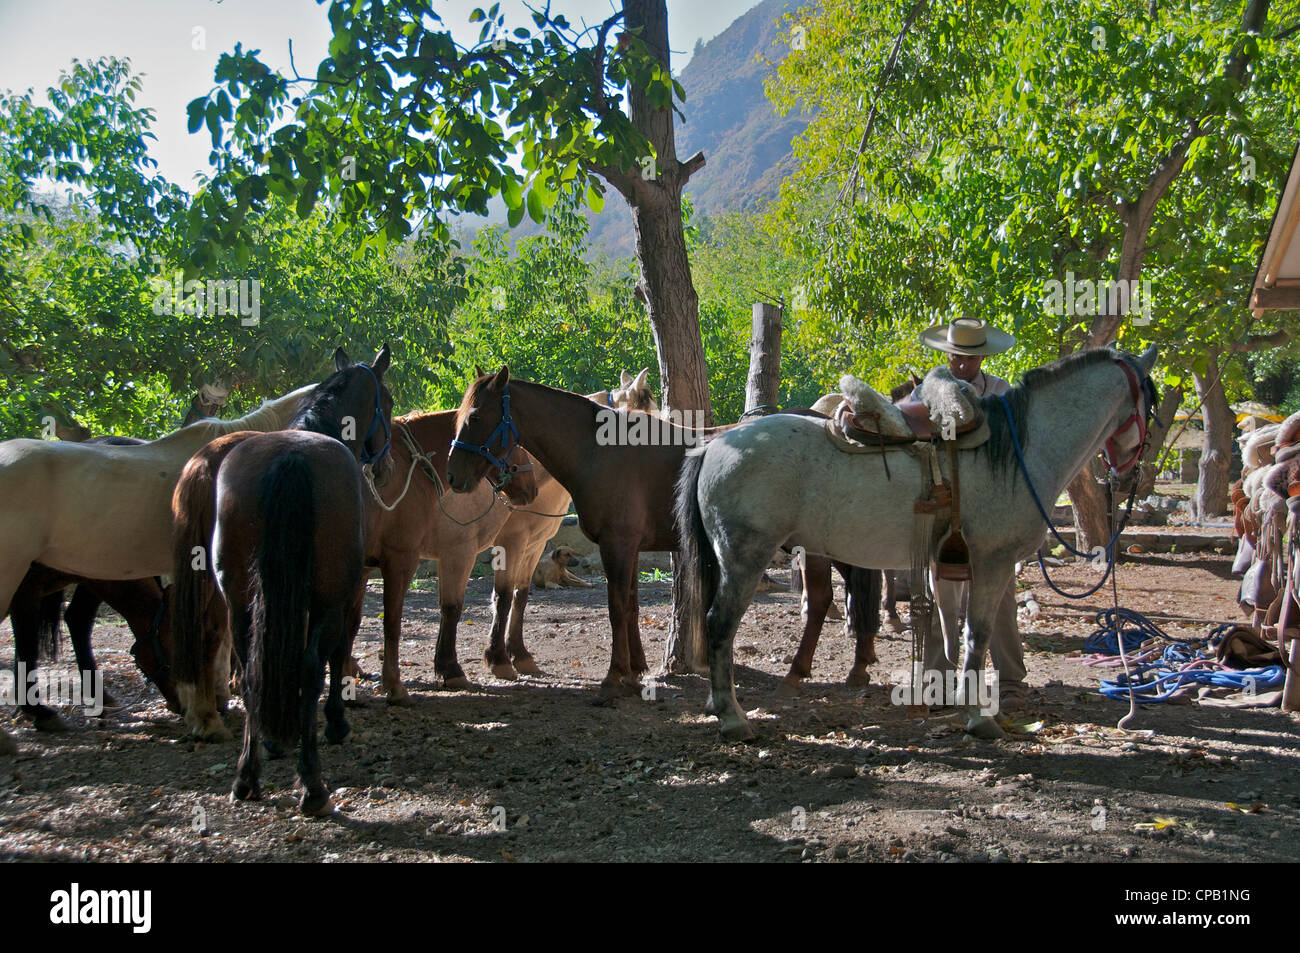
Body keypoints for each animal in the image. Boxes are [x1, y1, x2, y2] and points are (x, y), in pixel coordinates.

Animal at [174, 346, 394, 815]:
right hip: (325, 596)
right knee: (310, 667)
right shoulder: (348, 595)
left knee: (250, 670)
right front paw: (335, 724)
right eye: (385, 400)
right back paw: (313, 786)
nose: (384, 465)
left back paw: (247, 777)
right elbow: (338, 652)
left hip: (239, 600)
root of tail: (289, 458)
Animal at [674, 345, 1158, 741]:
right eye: (1152, 405)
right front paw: (978, 718)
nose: (1131, 474)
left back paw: (720, 705)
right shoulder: (993, 564)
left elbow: (951, 631)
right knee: (720, 624)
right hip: (745, 561)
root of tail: (714, 444)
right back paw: (734, 718)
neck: (1015, 453)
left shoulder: (953, 566)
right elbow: (977, 635)